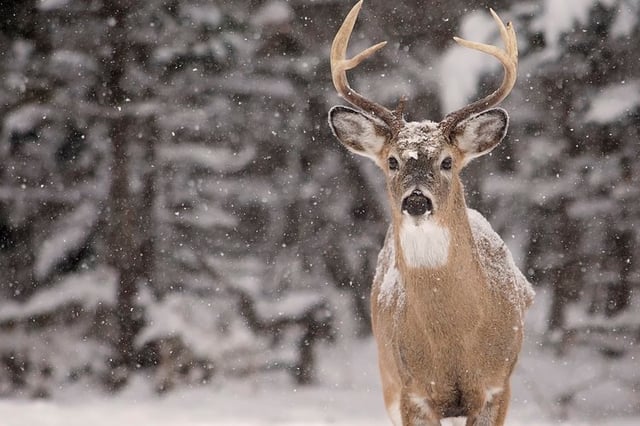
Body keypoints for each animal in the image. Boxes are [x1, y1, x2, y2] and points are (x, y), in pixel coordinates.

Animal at [327, 2, 535, 425]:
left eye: (447, 161)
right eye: (392, 161)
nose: (417, 202)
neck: (454, 339)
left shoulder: (496, 387)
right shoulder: (412, 393)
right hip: (387, 377)